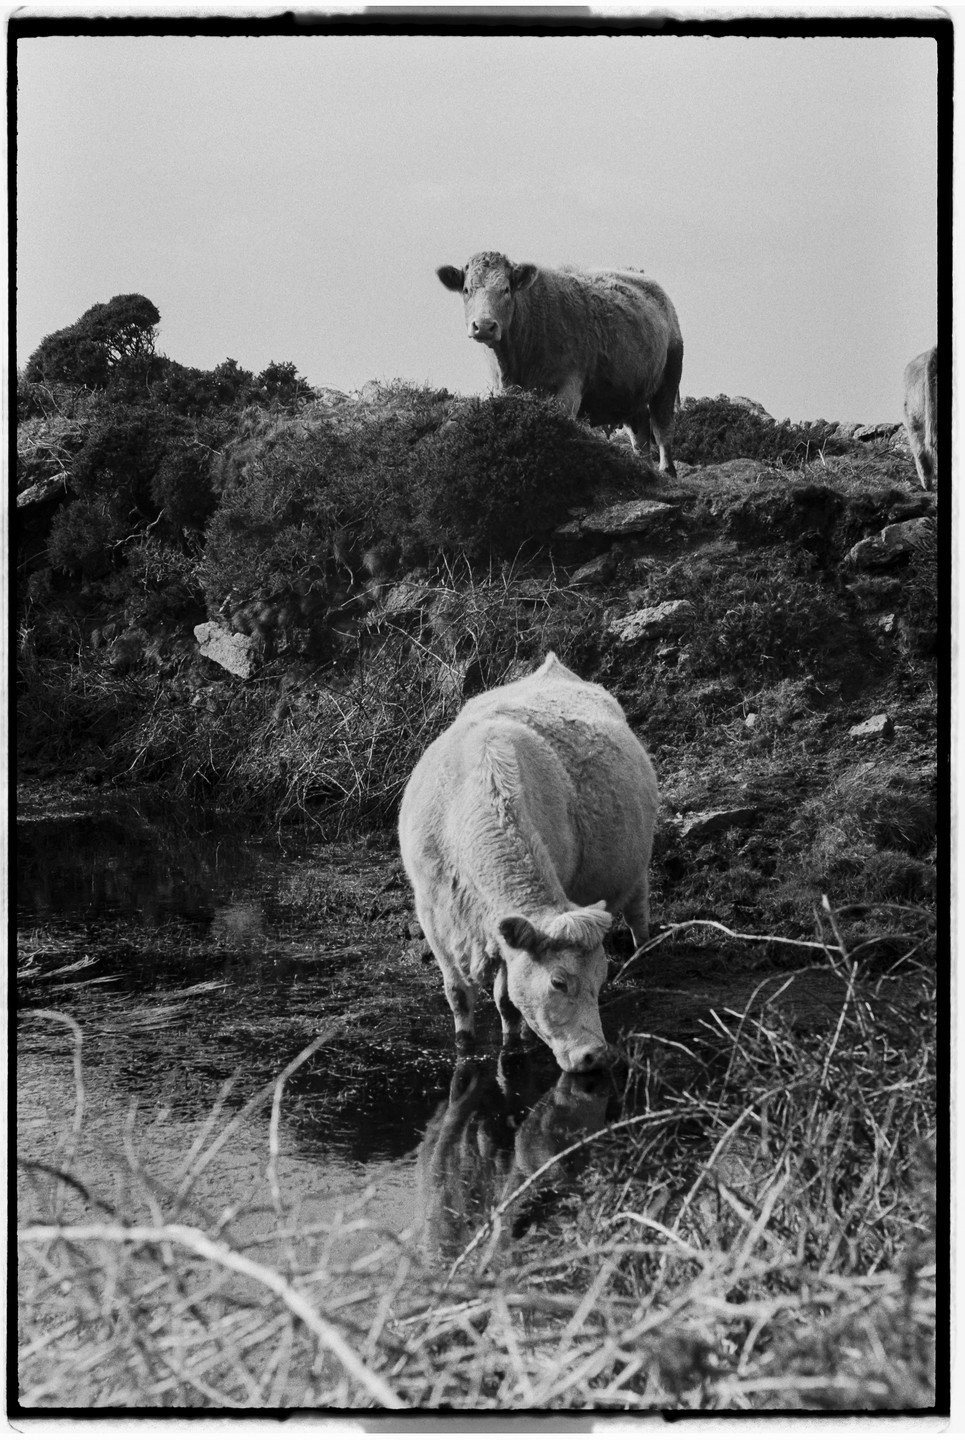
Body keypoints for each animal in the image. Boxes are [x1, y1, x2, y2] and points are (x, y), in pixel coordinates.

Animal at [398, 652, 659, 1073]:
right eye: (558, 982)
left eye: (600, 980)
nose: (594, 1055)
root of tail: (553, 666)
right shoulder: (433, 917)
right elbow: (458, 995)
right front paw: (464, 1044)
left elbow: (507, 1000)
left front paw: (513, 1042)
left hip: (637, 870)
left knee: (639, 915)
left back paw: (641, 953)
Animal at [436, 251, 684, 476]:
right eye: (467, 290)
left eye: (506, 289)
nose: (484, 326)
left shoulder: (568, 390)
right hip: (632, 390)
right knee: (640, 431)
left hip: (669, 378)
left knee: (662, 428)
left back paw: (667, 470)